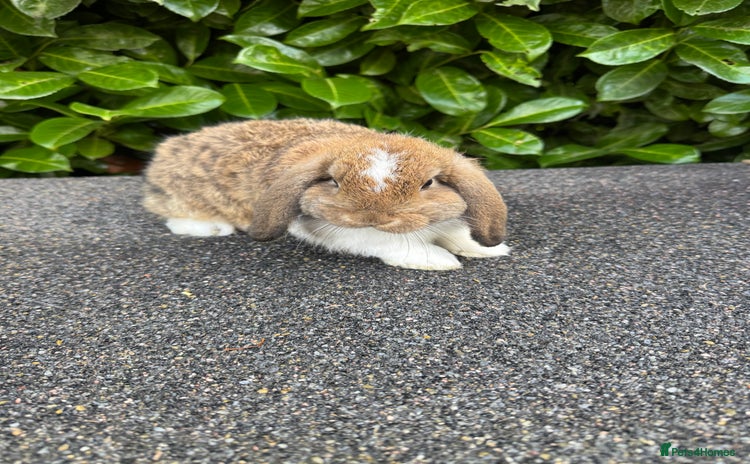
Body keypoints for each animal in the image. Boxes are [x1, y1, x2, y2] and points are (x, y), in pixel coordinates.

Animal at [143, 118, 509, 270]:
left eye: (429, 183)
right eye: (332, 181)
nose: (374, 217)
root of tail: (164, 152)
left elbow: (457, 233)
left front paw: (488, 250)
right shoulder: (340, 232)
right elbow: (388, 244)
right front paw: (439, 261)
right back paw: (213, 228)